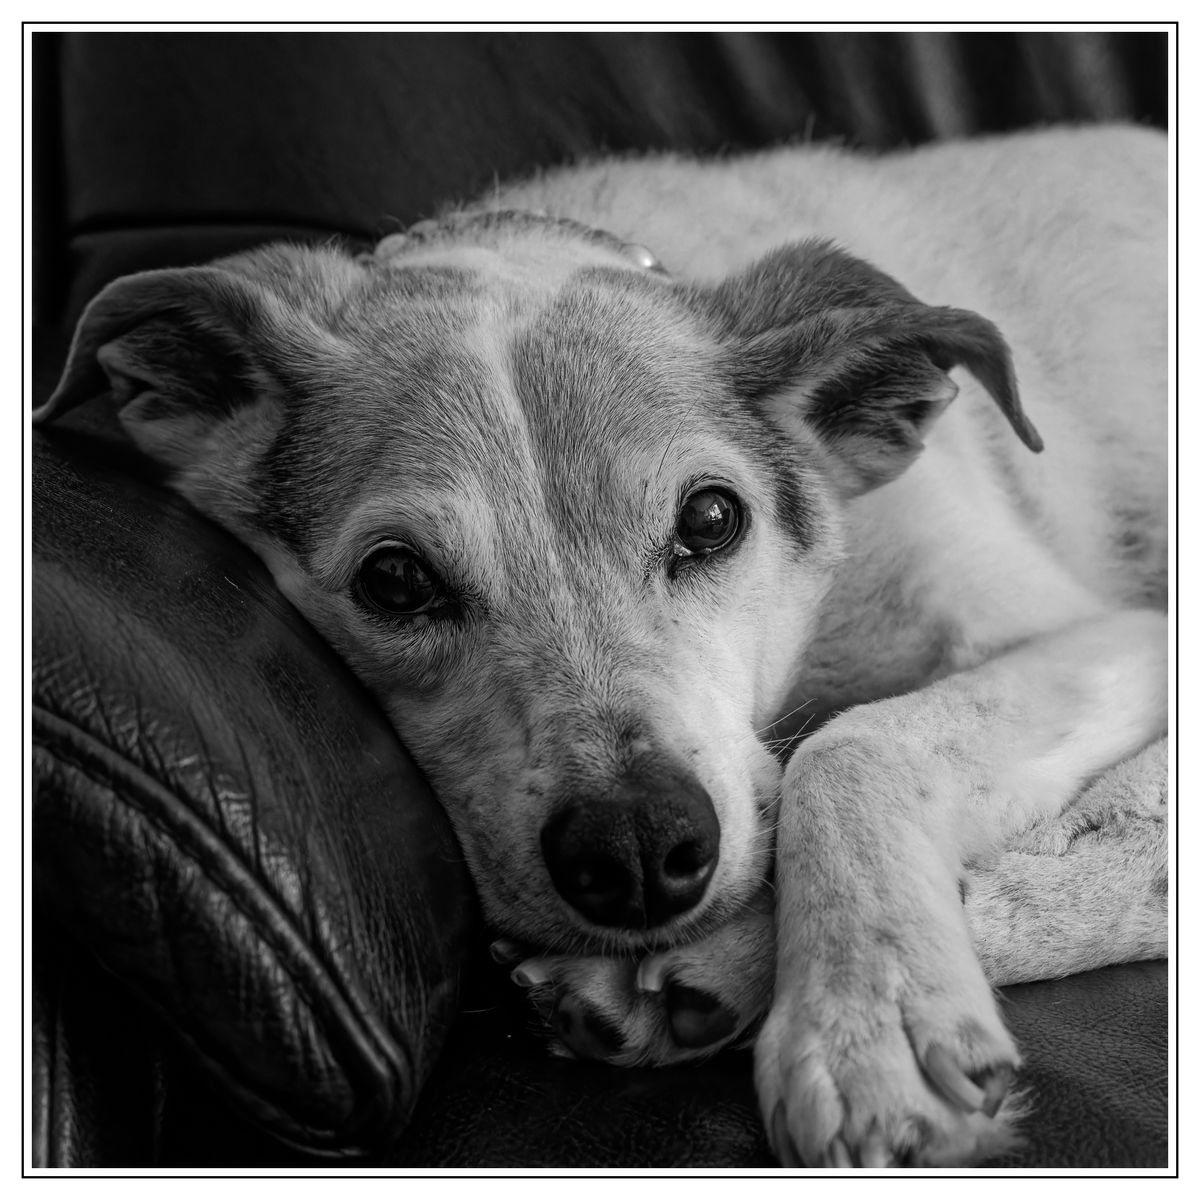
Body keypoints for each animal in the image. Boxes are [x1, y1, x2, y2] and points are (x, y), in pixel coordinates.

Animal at [32, 126, 1166, 1166]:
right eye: (395, 580)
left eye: (711, 520)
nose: (634, 854)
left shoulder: (1103, 635)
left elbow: (851, 746)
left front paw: (864, 1016)